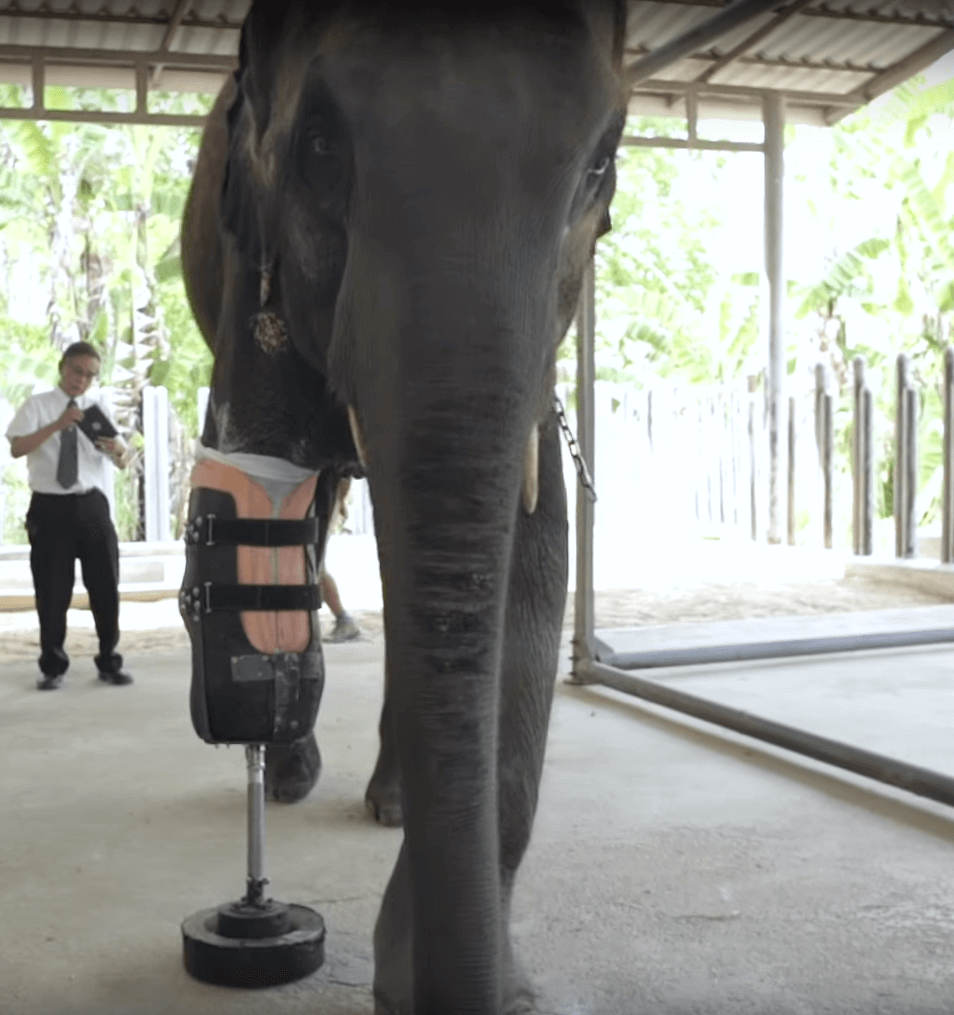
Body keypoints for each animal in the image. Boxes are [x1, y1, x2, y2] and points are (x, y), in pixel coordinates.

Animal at [180, 2, 627, 1012]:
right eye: (316, 148)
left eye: (601, 165)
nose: (415, 971)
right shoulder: (253, 269)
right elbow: (269, 510)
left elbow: (530, 555)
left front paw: (490, 976)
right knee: (310, 526)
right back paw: (295, 777)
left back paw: (388, 800)